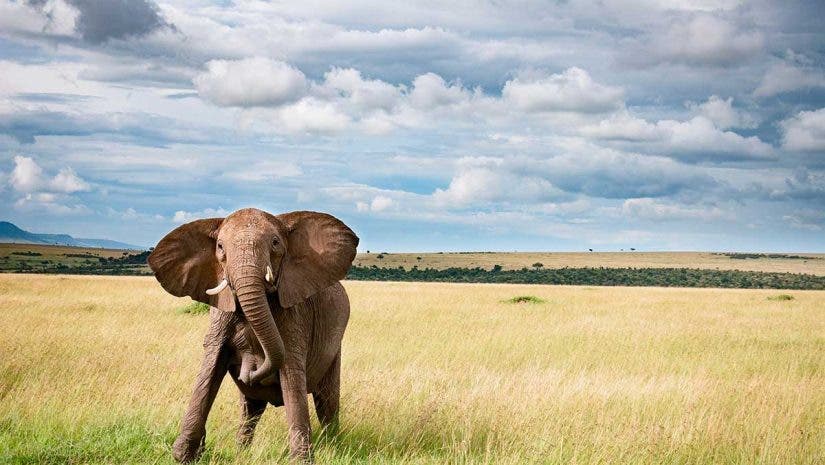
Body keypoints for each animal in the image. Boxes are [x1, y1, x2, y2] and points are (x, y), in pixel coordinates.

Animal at [148, 208, 359, 463]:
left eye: (275, 243)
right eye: (220, 246)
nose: (250, 369)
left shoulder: (294, 316)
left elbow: (291, 374)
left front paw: (302, 461)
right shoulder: (220, 312)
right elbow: (210, 367)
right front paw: (185, 455)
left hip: (335, 347)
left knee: (327, 402)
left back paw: (334, 448)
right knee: (251, 408)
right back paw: (242, 450)